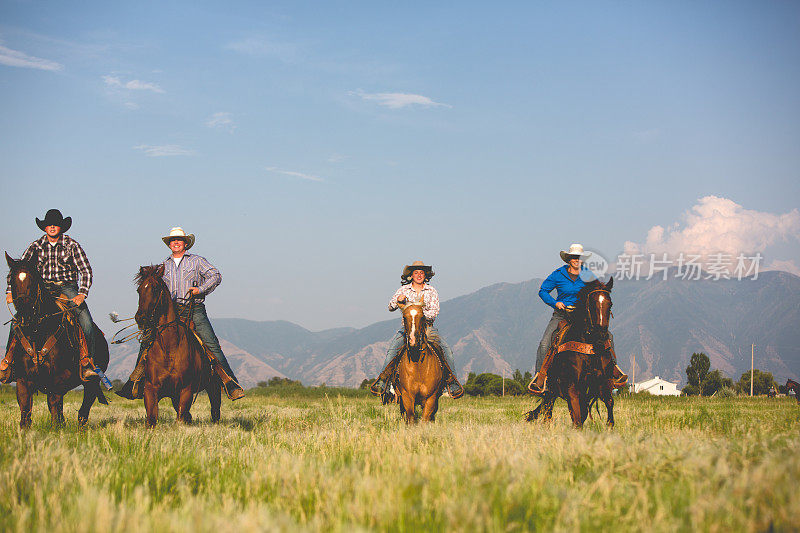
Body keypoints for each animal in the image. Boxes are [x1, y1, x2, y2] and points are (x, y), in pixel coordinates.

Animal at [5, 252, 109, 428]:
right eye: (11, 280)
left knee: (84, 409)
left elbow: (54, 407)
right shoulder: (23, 380)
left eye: (33, 279)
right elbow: (25, 412)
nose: (25, 313)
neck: (37, 333)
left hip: (91, 381)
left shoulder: (58, 379)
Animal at [134, 264, 222, 426]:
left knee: (215, 410)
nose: (141, 318)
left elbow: (181, 417)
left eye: (155, 288)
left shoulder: (185, 389)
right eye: (139, 290)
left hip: (213, 386)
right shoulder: (151, 388)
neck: (169, 348)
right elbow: (151, 419)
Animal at [524, 276, 620, 426]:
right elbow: (577, 417)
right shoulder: (572, 387)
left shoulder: (602, 383)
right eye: (591, 304)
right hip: (551, 390)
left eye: (610, 304)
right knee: (548, 411)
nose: (601, 336)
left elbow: (608, 404)